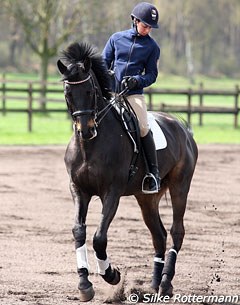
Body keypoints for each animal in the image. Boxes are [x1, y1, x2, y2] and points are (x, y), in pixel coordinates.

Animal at [57, 41, 198, 300]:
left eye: (90, 92)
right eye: (68, 94)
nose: (85, 130)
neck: (90, 146)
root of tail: (182, 127)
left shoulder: (112, 192)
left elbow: (99, 237)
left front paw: (111, 274)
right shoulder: (79, 190)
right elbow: (79, 231)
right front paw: (84, 284)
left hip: (180, 187)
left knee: (176, 232)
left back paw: (166, 284)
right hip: (146, 198)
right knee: (159, 235)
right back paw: (153, 285)